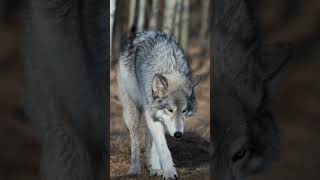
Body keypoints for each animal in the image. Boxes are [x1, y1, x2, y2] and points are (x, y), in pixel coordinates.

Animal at [117, 30, 202, 179]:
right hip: (132, 113)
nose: (178, 134)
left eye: (184, 110)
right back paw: (134, 169)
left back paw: (152, 166)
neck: (168, 67)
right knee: (134, 139)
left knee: (149, 139)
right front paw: (169, 172)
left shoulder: (160, 119)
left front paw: (158, 168)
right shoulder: (153, 116)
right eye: (169, 109)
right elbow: (163, 147)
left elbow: (156, 146)